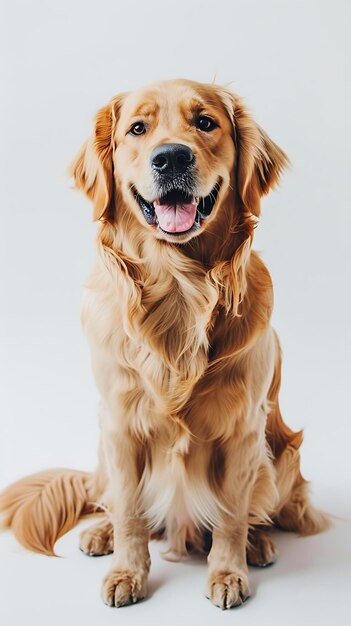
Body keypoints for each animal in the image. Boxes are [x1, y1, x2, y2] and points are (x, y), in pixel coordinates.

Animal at [0, 79, 330, 608]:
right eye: (138, 128)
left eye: (205, 122)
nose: (171, 157)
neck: (179, 291)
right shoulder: (120, 424)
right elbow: (131, 513)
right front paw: (126, 571)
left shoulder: (242, 430)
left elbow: (231, 515)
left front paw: (227, 572)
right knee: (109, 500)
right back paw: (100, 533)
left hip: (282, 454)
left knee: (258, 509)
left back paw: (258, 544)